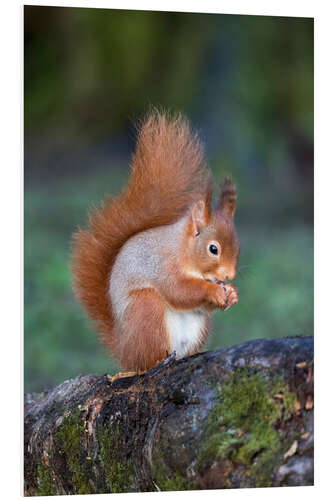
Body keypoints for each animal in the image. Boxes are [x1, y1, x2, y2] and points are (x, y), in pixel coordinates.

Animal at [71, 110, 239, 376]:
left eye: (238, 246)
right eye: (213, 249)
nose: (230, 275)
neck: (182, 249)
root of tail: (123, 349)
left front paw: (231, 294)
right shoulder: (163, 264)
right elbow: (179, 290)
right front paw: (213, 290)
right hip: (146, 310)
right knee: (146, 362)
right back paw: (155, 363)